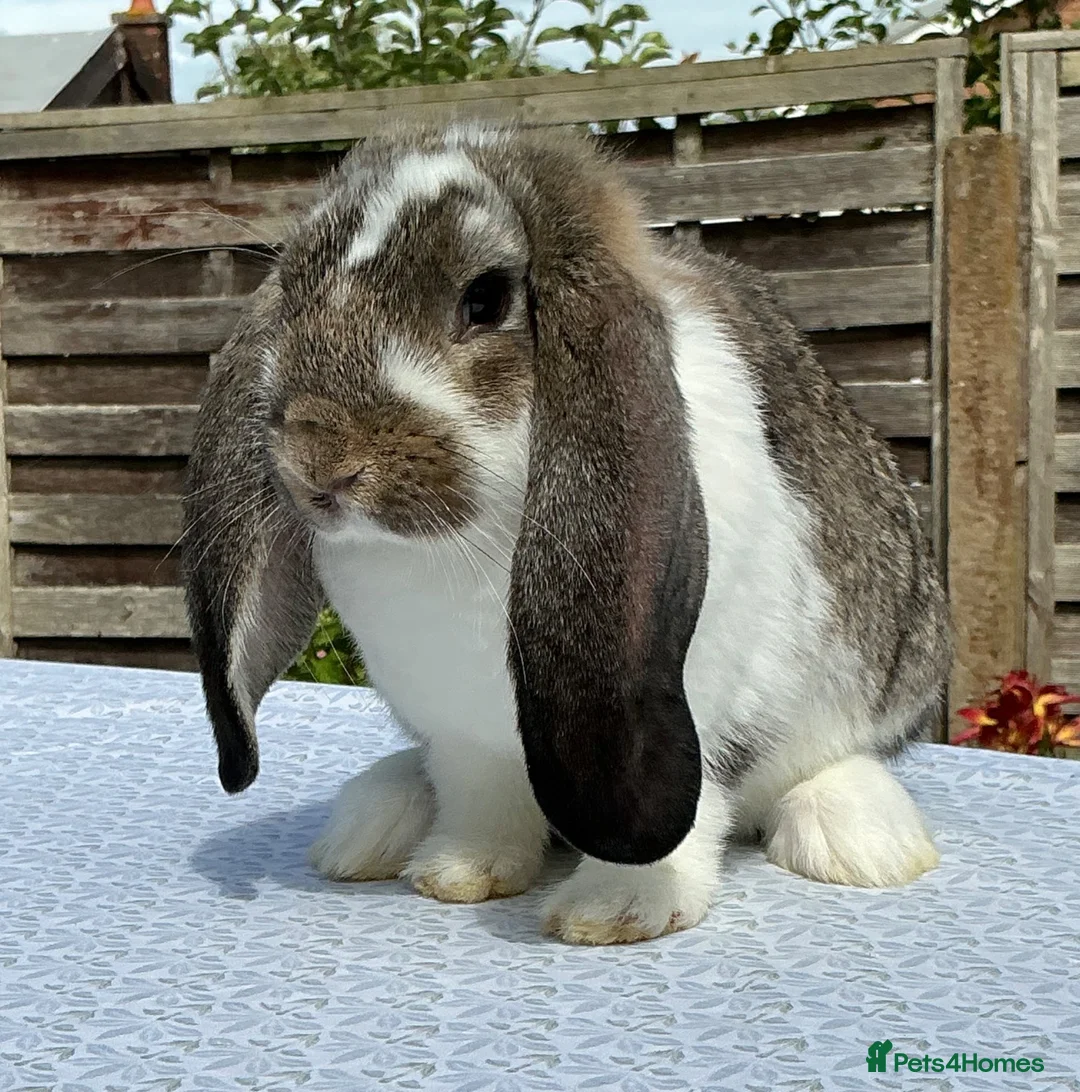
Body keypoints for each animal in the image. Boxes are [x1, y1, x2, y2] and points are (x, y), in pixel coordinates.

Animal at [183, 122, 951, 946]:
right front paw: (459, 874)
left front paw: (614, 910)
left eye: (485, 298)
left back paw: (856, 843)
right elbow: (480, 803)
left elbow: (687, 815)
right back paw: (373, 825)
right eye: (293, 295)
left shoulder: (682, 705)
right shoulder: (468, 740)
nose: (317, 463)